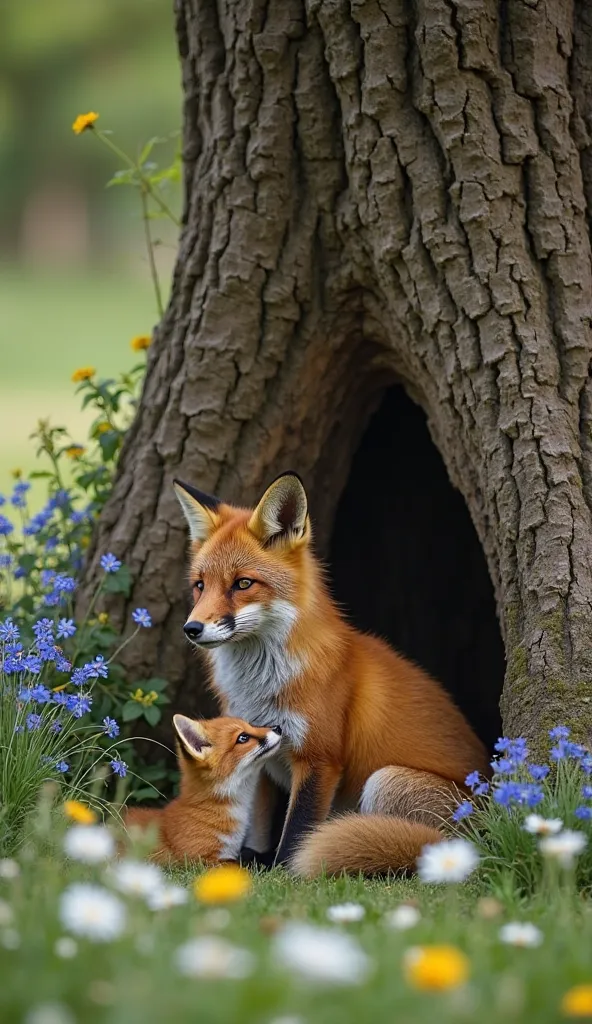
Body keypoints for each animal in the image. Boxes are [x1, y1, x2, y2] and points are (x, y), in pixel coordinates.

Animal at [173, 473, 485, 872]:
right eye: (200, 585)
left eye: (242, 583)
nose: (191, 629)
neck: (260, 689)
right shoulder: (259, 750)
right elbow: (257, 821)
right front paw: (253, 859)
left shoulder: (320, 759)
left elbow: (298, 831)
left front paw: (286, 872)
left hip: (385, 782)